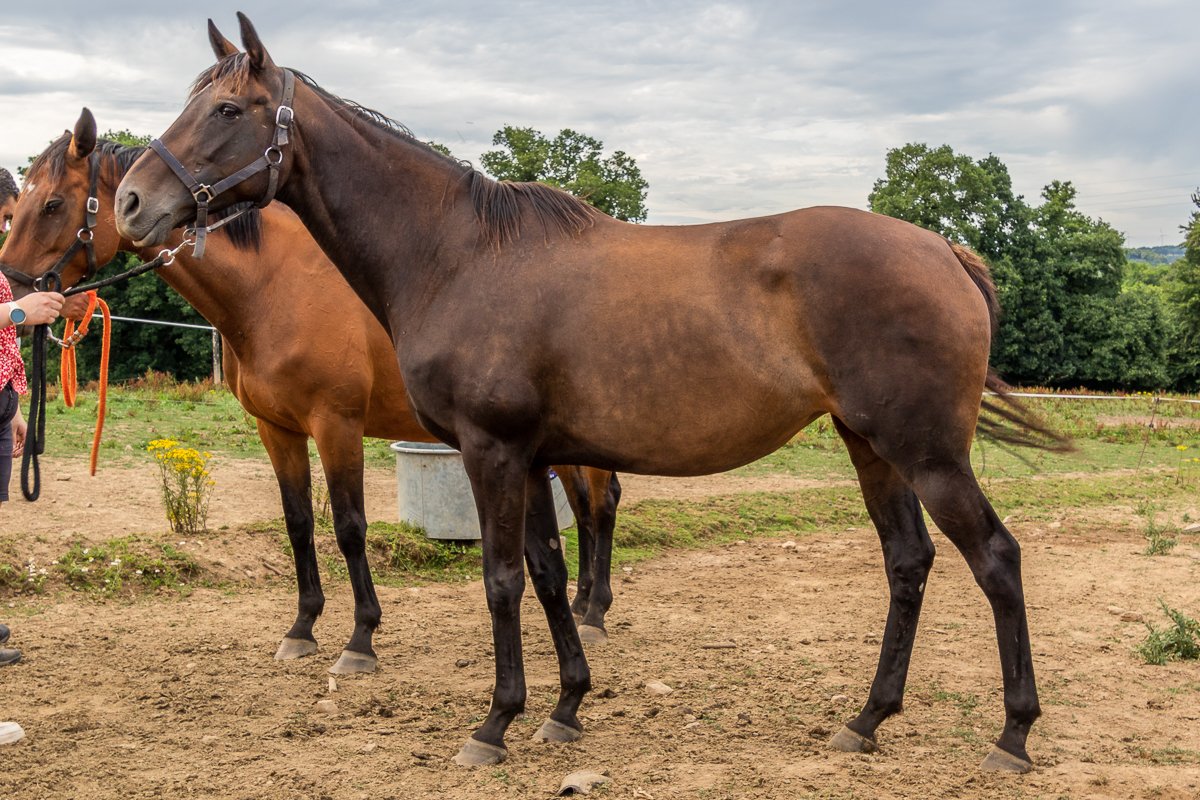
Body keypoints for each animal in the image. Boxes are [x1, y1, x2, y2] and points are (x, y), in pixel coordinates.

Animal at [0, 108, 623, 675]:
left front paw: (361, 638)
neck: (271, 287)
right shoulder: (276, 428)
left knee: (600, 505)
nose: (12, 290)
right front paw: (302, 627)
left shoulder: (336, 424)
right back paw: (581, 604)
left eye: (53, 204)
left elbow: (348, 526)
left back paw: (593, 611)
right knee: (587, 507)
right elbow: (298, 522)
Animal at [114, 14, 1066, 772]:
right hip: (870, 446)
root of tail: (945, 251)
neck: (456, 254)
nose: (130, 203)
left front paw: (494, 723)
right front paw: (566, 706)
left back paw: (1012, 735)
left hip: (926, 453)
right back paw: (867, 719)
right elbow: (545, 572)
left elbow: (500, 579)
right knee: (908, 563)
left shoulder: (491, 450)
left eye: (227, 110)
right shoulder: (532, 456)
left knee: (996, 559)